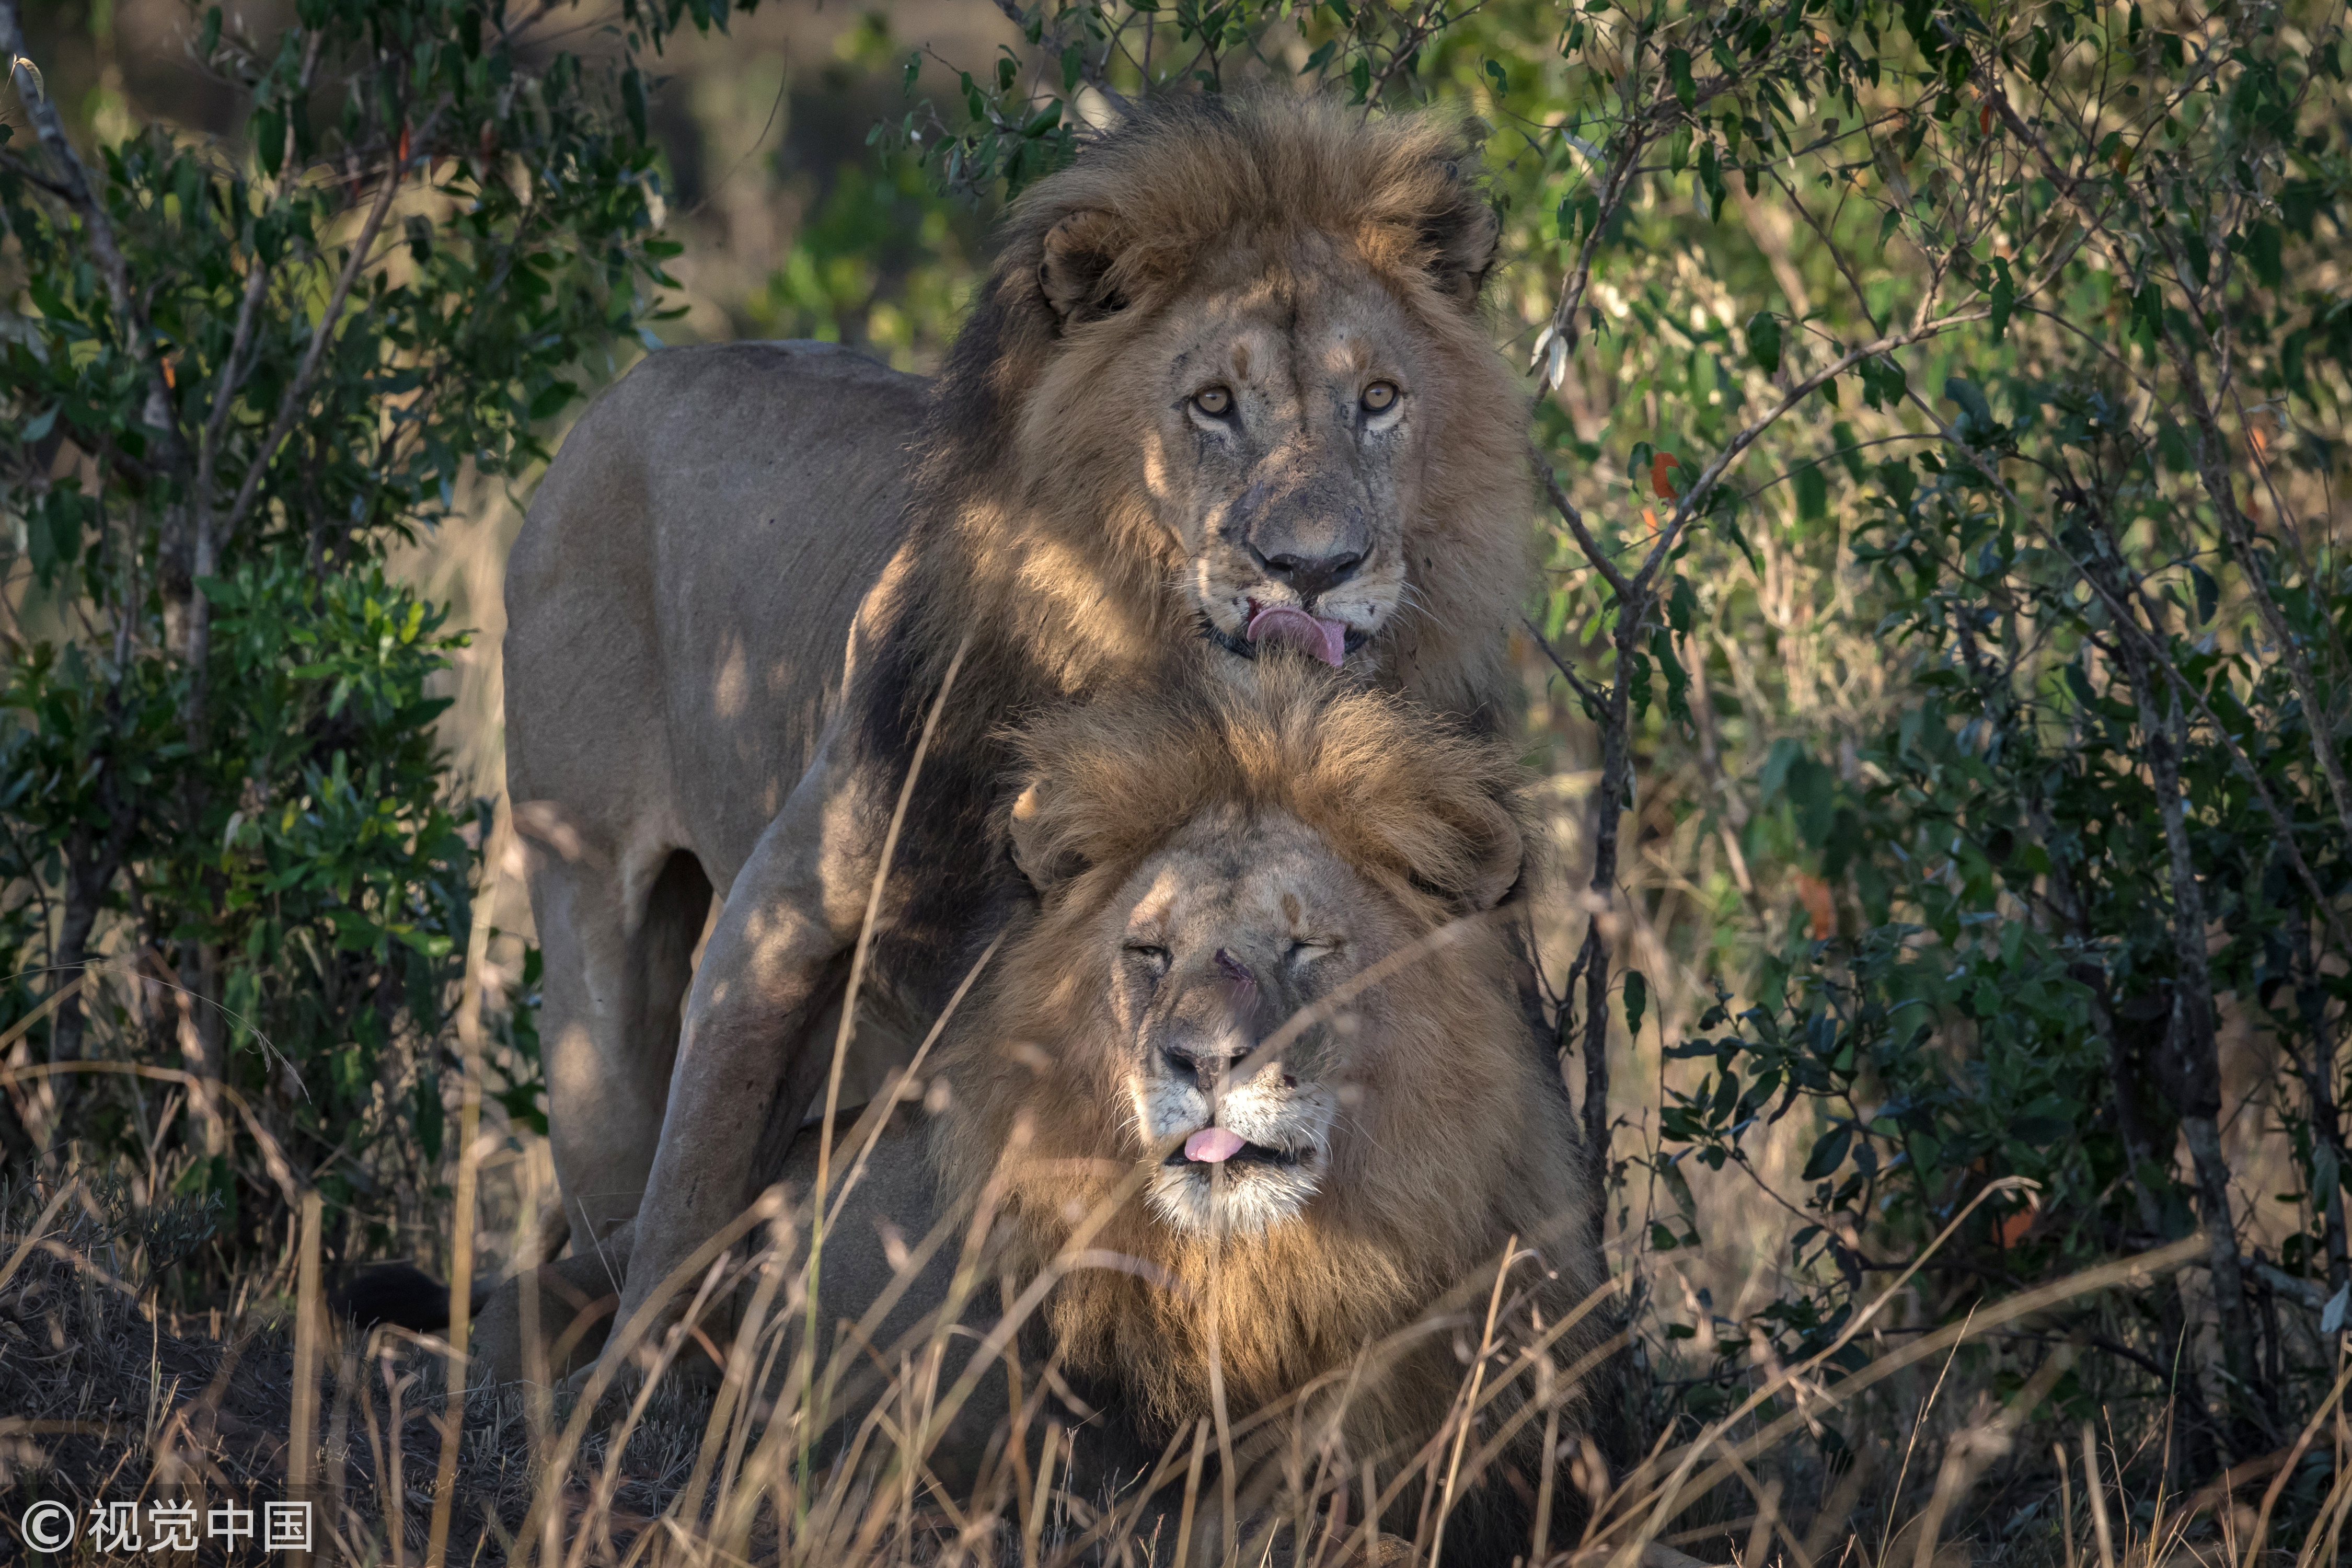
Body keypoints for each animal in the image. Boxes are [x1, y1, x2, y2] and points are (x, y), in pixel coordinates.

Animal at [496, 95, 1543, 1373]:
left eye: (1380, 399)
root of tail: (631, 381)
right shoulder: (774, 927)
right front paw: (628, 1401)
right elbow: (688, 1199)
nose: (1316, 567)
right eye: (1212, 404)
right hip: (589, 914)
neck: (1161, 685)